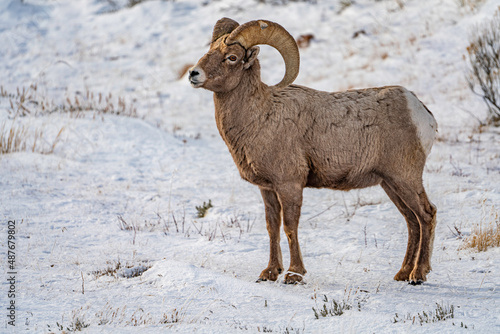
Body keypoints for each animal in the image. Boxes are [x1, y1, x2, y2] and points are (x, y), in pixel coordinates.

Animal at [190, 17, 438, 284]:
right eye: (210, 50)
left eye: (232, 57)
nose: (194, 74)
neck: (261, 116)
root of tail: (420, 112)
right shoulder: (267, 188)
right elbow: (272, 227)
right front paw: (270, 272)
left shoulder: (289, 184)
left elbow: (290, 226)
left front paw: (294, 274)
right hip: (390, 183)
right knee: (412, 221)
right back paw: (402, 273)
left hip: (405, 178)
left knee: (426, 215)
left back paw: (418, 275)